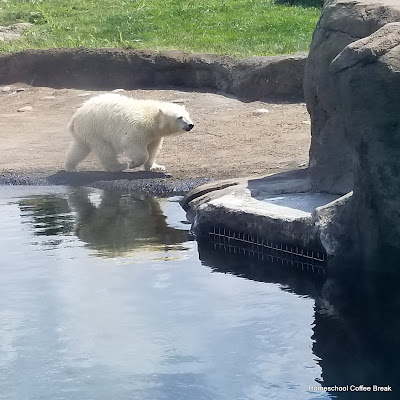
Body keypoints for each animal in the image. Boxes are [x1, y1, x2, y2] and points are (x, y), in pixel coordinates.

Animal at [64, 93, 194, 173]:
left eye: (188, 115)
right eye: (180, 117)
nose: (190, 125)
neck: (153, 119)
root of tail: (74, 119)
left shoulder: (154, 135)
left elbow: (153, 149)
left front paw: (156, 167)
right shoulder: (138, 129)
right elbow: (135, 147)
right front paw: (132, 164)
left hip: (85, 131)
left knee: (79, 148)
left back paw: (70, 167)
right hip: (95, 129)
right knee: (105, 150)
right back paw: (119, 167)